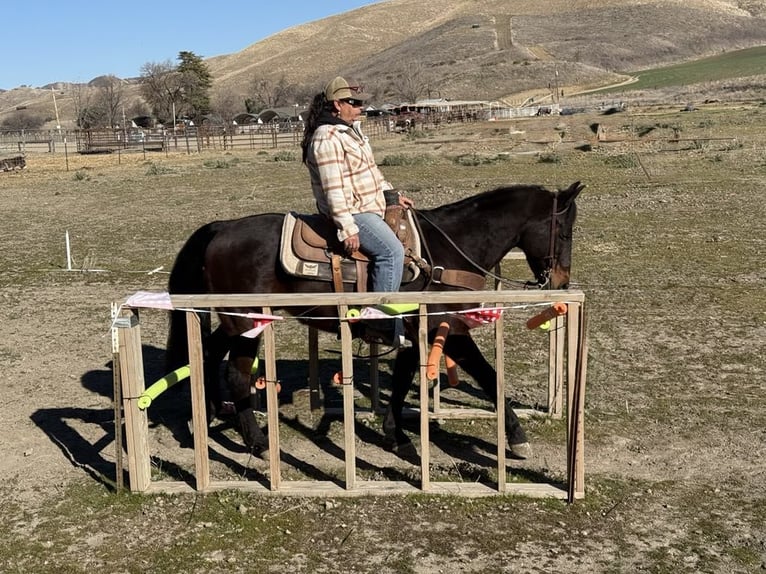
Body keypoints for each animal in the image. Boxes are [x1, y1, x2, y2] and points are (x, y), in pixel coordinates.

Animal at [165, 181, 583, 459]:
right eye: (564, 231)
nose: (561, 281)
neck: (447, 251)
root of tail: (221, 228)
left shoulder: (413, 331)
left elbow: (400, 381)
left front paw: (396, 434)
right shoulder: (450, 327)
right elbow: (489, 376)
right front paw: (518, 437)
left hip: (234, 321)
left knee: (208, 355)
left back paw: (212, 415)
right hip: (247, 323)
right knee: (236, 374)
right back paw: (257, 443)